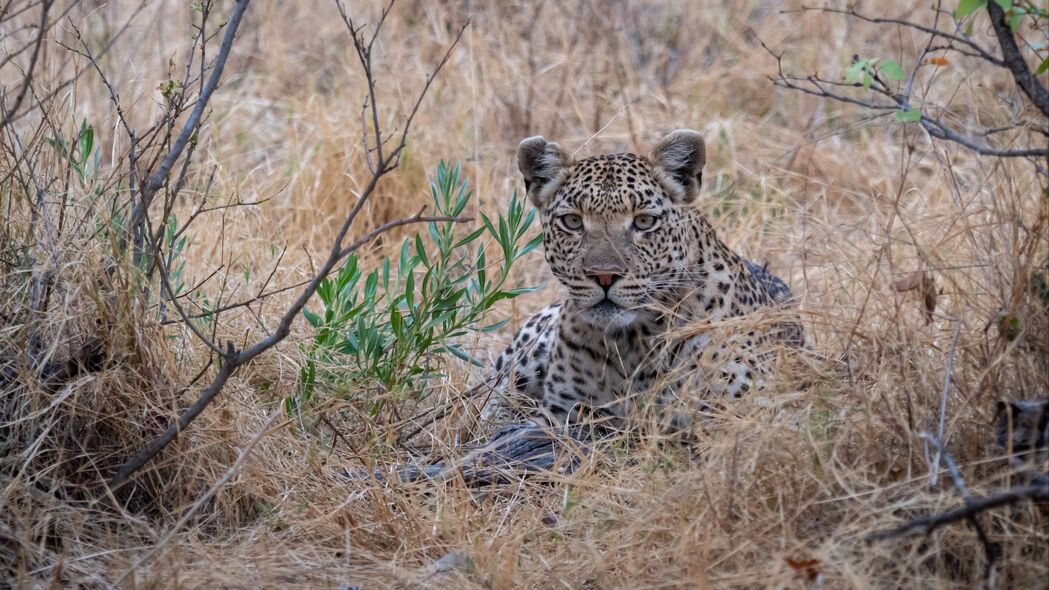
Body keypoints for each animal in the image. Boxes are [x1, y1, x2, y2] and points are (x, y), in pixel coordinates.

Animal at [482, 129, 801, 432]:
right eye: (572, 222)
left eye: (644, 221)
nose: (604, 275)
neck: (631, 343)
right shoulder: (562, 413)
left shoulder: (753, 405)